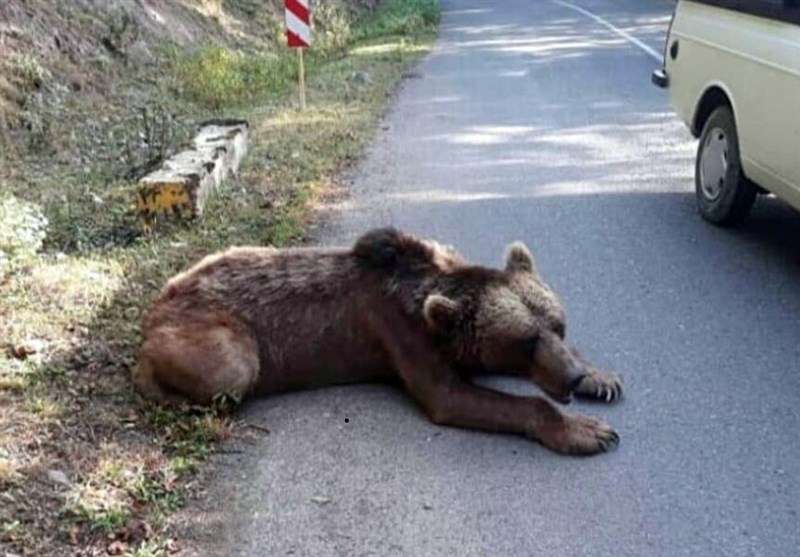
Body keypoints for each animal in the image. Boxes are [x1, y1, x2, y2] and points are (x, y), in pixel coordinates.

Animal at [134, 228, 620, 454]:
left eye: (558, 326)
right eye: (525, 341)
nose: (570, 378)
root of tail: (156, 304)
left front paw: (601, 378)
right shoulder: (399, 333)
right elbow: (451, 396)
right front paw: (585, 431)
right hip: (205, 328)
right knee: (231, 368)